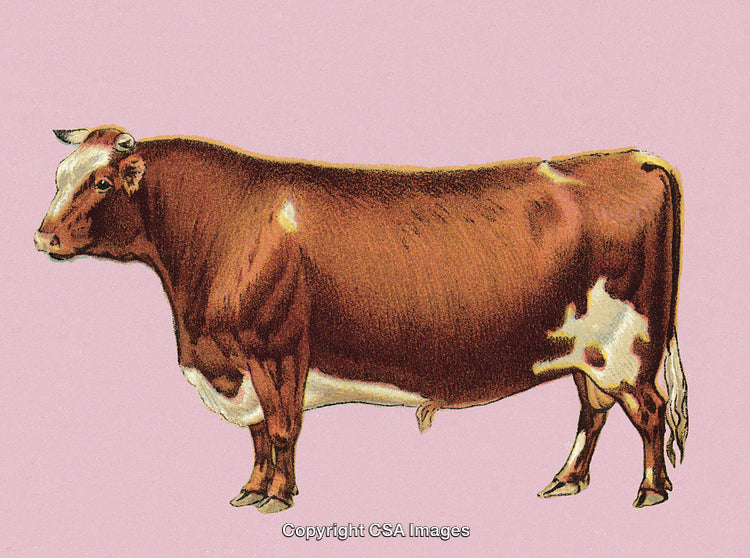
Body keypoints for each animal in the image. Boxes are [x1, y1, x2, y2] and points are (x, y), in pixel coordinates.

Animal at [34, 126, 688, 513]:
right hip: (585, 352)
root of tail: (636, 158)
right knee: (593, 411)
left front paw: (278, 497)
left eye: (100, 182)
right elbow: (256, 433)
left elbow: (281, 428)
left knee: (648, 412)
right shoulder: (239, 362)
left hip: (627, 347)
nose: (43, 236)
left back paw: (651, 491)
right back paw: (566, 480)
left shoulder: (275, 349)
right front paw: (250, 489)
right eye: (60, 176)